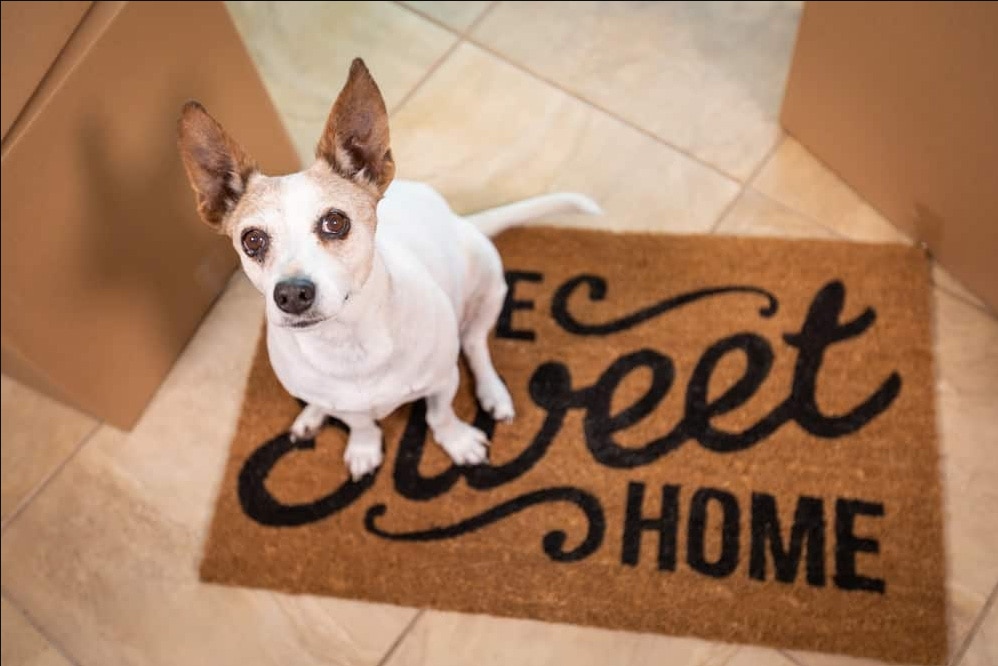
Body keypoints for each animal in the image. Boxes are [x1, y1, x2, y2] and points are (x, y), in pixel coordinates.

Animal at [178, 57, 600, 478]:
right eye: (252, 240)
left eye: (335, 222)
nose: (292, 294)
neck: (347, 343)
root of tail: (461, 221)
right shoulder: (349, 406)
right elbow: (360, 422)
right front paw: (363, 447)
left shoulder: (442, 381)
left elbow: (439, 415)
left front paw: (457, 442)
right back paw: (312, 415)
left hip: (489, 286)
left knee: (475, 344)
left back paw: (493, 392)